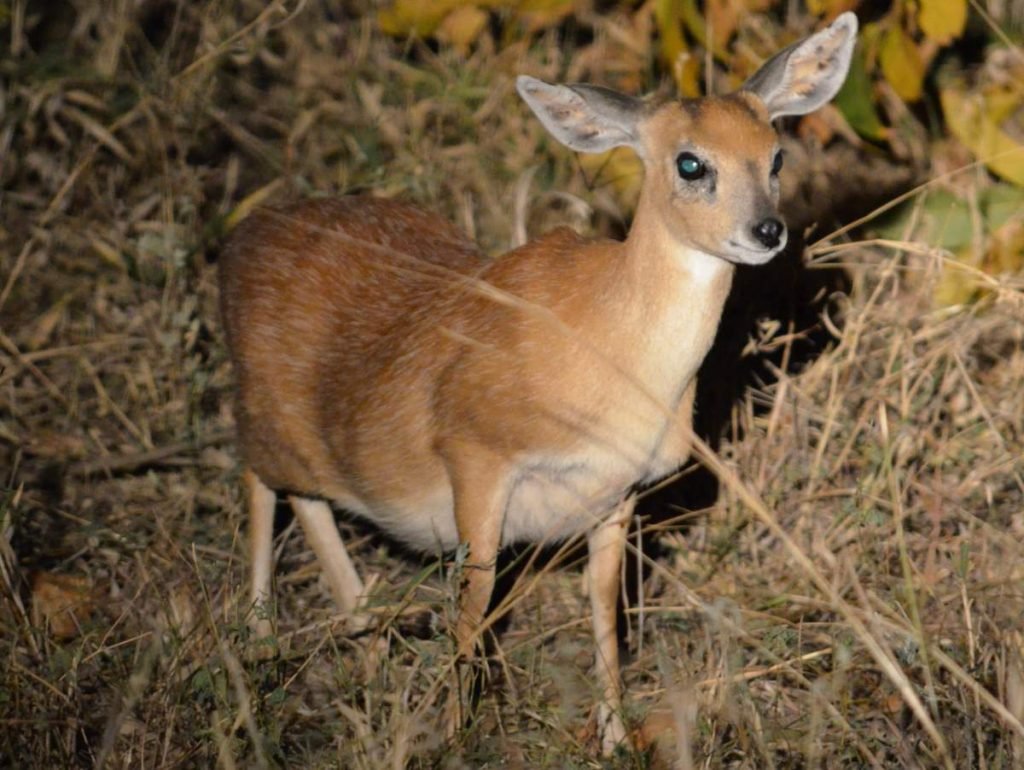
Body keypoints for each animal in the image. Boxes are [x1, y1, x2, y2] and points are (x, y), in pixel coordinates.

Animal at [218, 12, 856, 753]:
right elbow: (473, 604)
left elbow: (606, 611)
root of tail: (241, 240)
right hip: (264, 410)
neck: (611, 352)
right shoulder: (475, 449)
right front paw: (457, 738)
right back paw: (262, 647)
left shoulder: (617, 491)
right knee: (258, 477)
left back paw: (364, 633)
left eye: (775, 157)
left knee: (308, 495)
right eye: (691, 163)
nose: (766, 230)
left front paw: (613, 737)